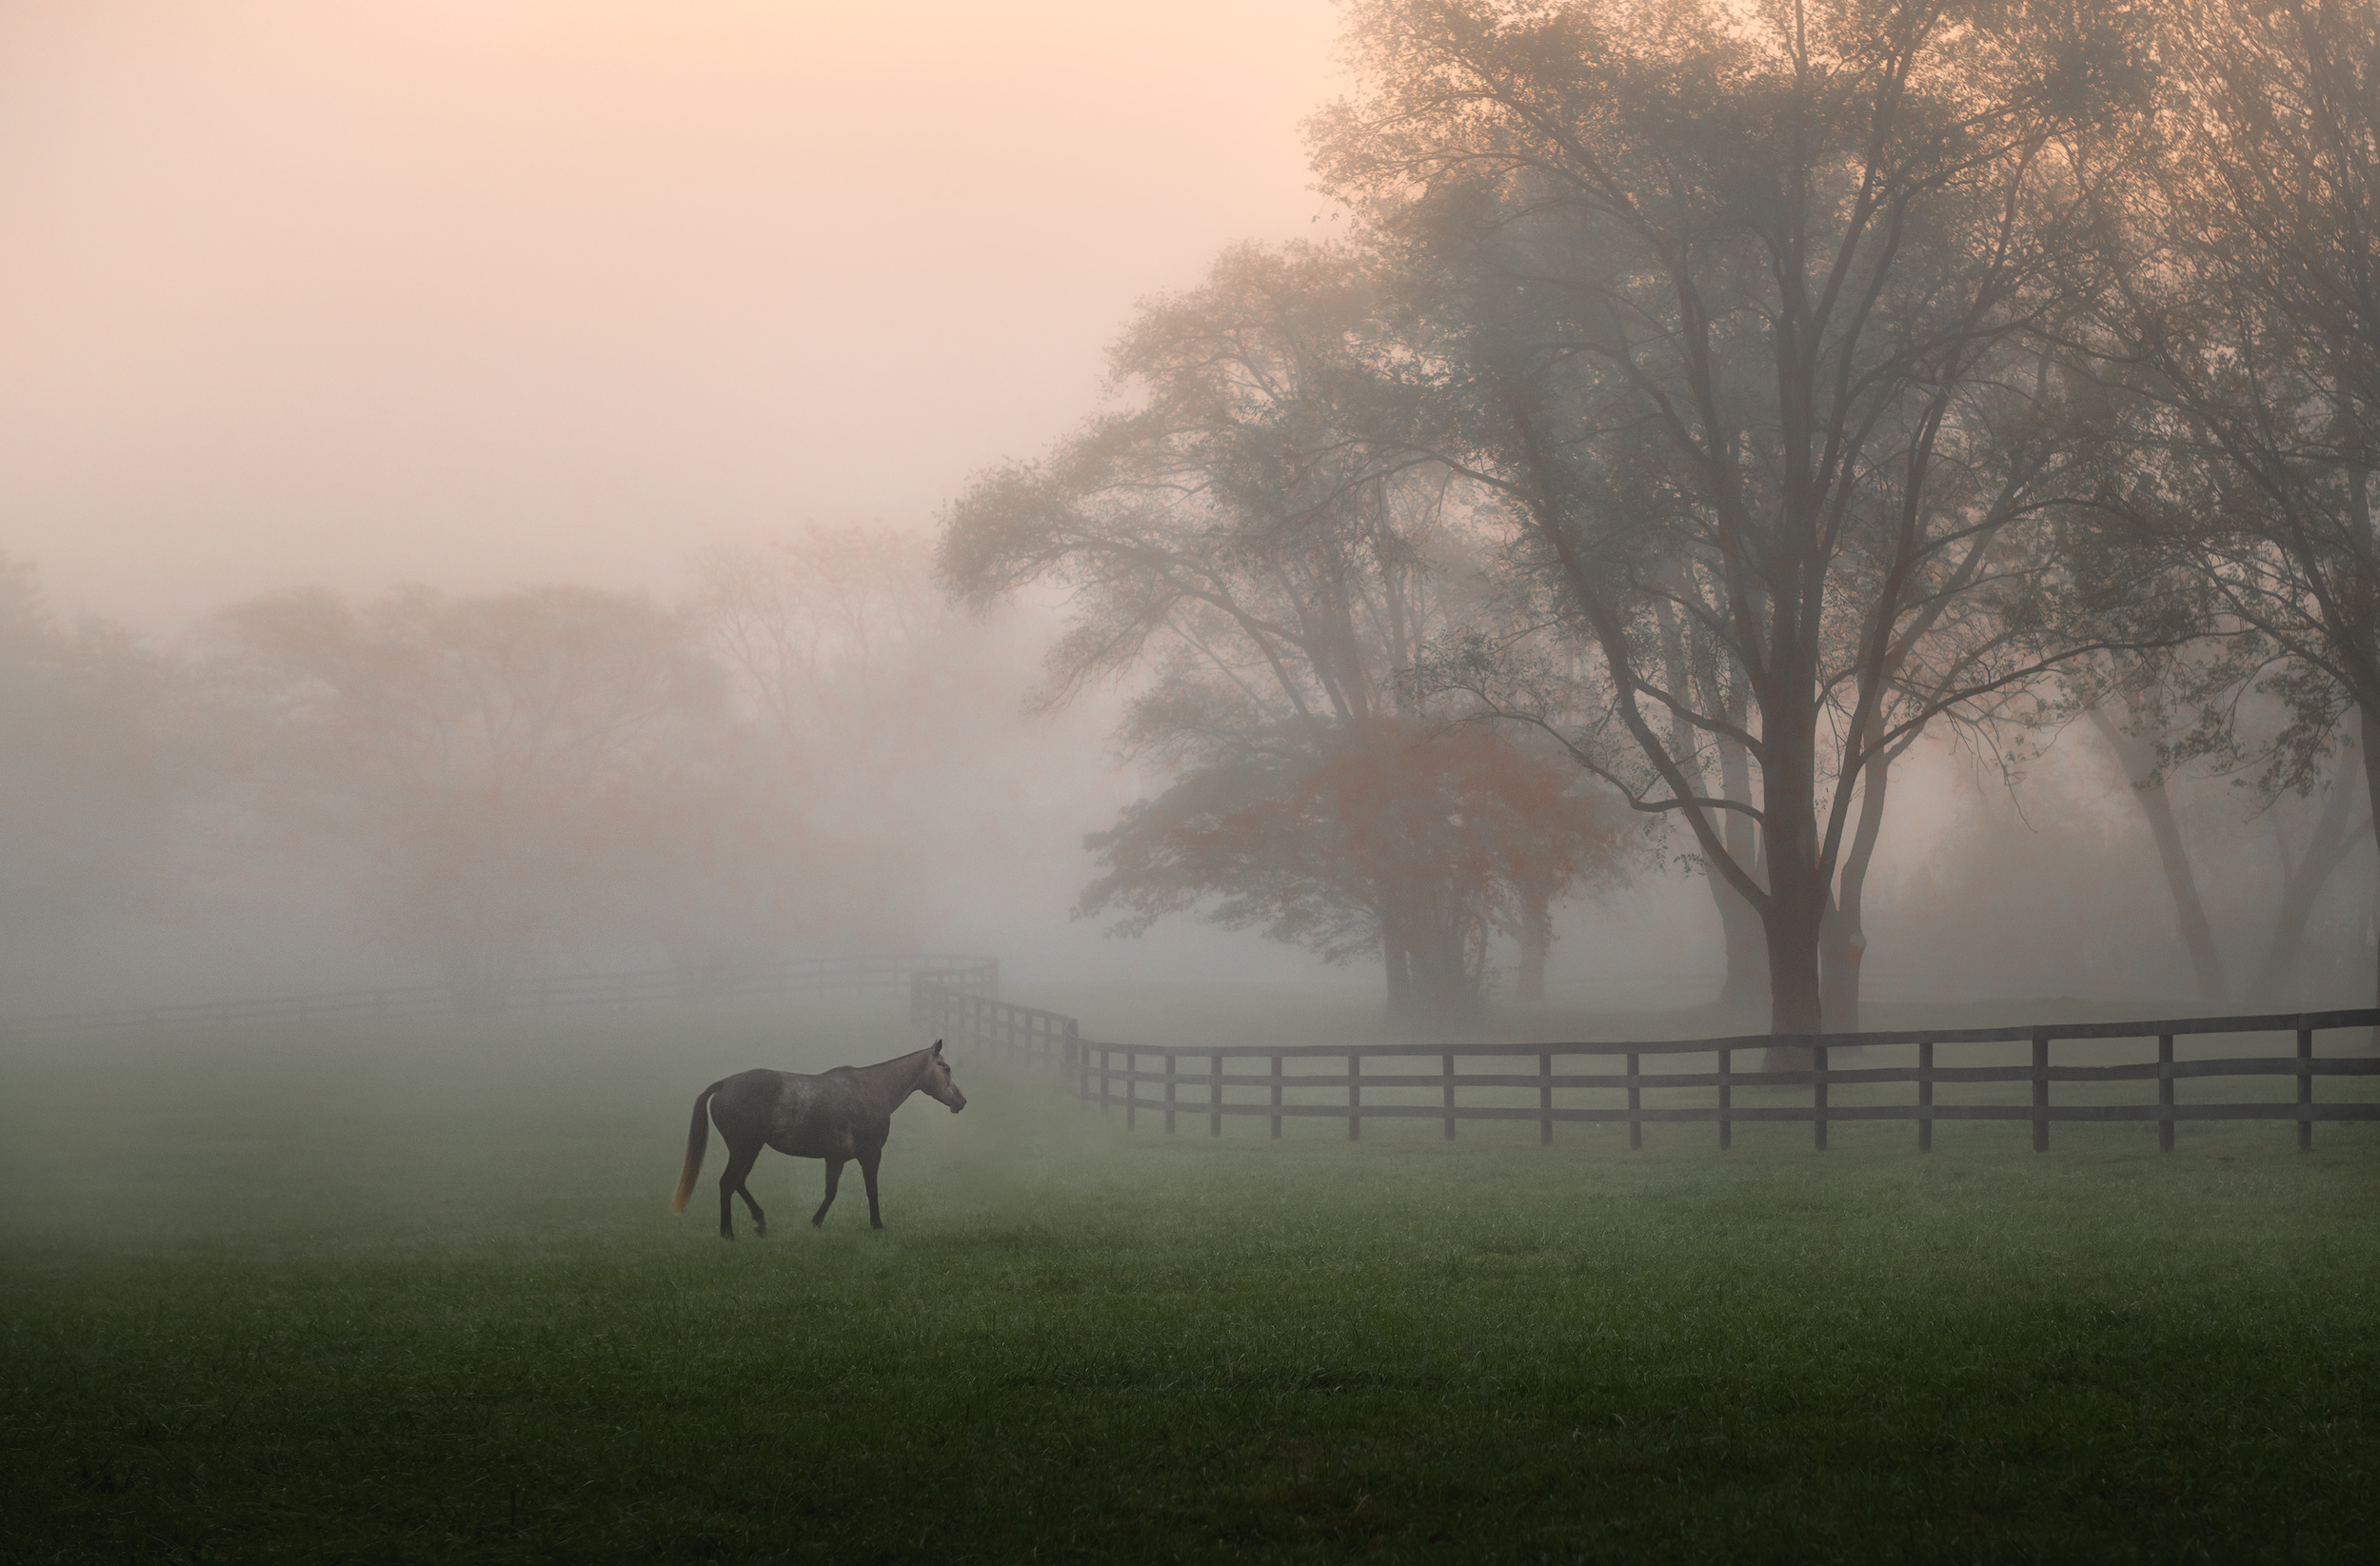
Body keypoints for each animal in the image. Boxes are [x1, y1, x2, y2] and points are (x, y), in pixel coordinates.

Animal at [669, 1040, 966, 1240]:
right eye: (945, 1067)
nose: (961, 1101)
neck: (874, 1088)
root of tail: (724, 1084)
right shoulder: (870, 1154)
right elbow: (872, 1189)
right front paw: (877, 1225)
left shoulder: (835, 1158)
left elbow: (830, 1192)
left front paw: (815, 1221)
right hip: (745, 1148)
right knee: (728, 1183)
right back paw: (728, 1233)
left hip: (747, 1149)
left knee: (738, 1182)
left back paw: (760, 1223)